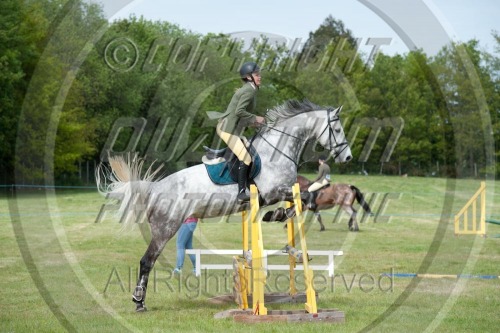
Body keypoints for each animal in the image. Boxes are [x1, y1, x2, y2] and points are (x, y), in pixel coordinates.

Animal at [96, 99, 352, 312]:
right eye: (338, 129)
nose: (347, 157)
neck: (277, 151)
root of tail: (155, 189)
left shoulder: (283, 190)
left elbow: (303, 200)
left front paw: (282, 222)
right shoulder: (271, 192)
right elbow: (305, 198)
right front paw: (276, 215)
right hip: (165, 228)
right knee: (146, 261)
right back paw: (139, 302)